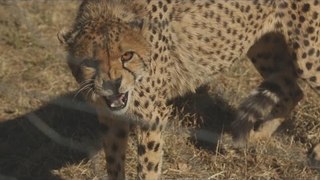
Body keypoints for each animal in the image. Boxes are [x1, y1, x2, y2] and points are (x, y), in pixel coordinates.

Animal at [58, 0, 318, 179]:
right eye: (90, 62)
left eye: (127, 55)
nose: (113, 84)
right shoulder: (110, 116)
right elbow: (113, 160)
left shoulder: (151, 115)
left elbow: (148, 165)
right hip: (262, 45)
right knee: (293, 90)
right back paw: (257, 136)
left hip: (308, 53)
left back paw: (315, 152)